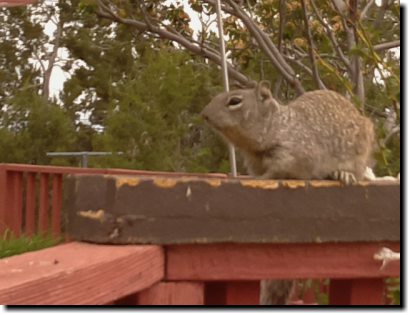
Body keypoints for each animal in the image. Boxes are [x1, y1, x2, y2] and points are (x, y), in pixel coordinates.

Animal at [202, 81, 374, 185]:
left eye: (235, 101)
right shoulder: (254, 161)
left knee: (358, 173)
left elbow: (277, 171)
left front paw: (262, 178)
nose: (204, 114)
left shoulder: (292, 154)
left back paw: (343, 174)